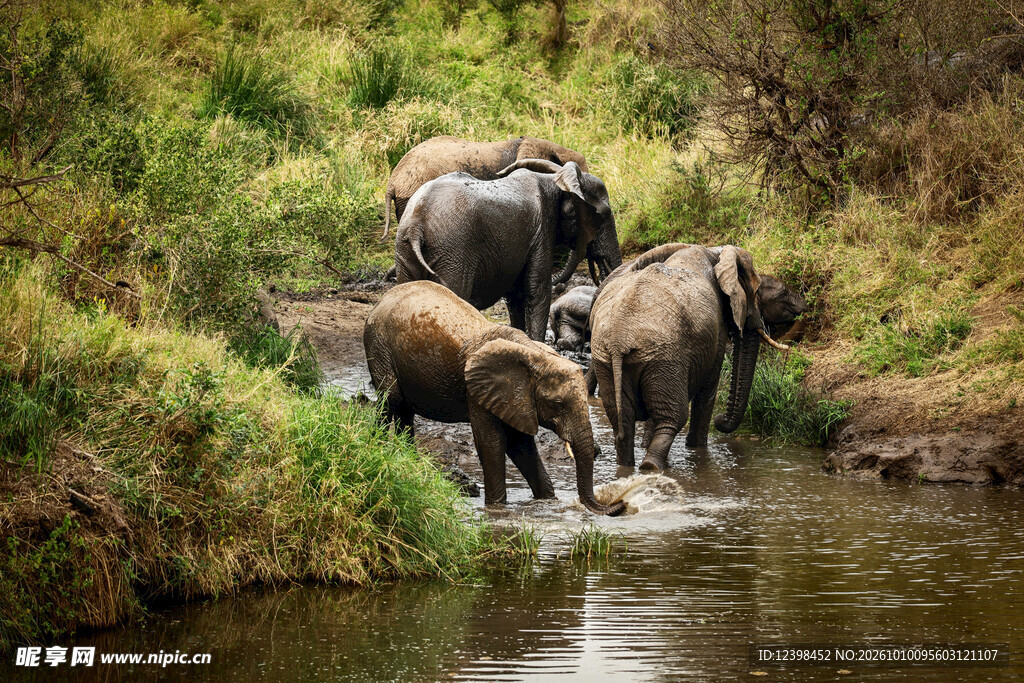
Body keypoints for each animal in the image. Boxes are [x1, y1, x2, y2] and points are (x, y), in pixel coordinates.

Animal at [363, 280, 625, 516]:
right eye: (557, 405)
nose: (620, 505)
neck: (532, 353)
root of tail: (380, 301)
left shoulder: (516, 397)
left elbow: (521, 444)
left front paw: (547, 501)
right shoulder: (479, 391)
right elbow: (493, 443)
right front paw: (497, 509)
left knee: (403, 410)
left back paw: (408, 461)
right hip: (378, 345)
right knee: (390, 401)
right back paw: (378, 449)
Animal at [393, 159, 622, 342]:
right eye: (603, 214)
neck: (555, 181)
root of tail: (416, 224)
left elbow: (517, 297)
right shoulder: (541, 232)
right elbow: (536, 291)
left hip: (406, 250)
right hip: (453, 253)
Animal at [589, 243, 791, 472]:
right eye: (755, 292)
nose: (720, 420)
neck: (716, 252)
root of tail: (619, 342)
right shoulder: (715, 332)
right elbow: (708, 387)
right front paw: (697, 448)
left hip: (606, 361)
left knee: (623, 421)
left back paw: (628, 466)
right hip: (664, 360)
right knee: (674, 418)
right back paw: (652, 466)